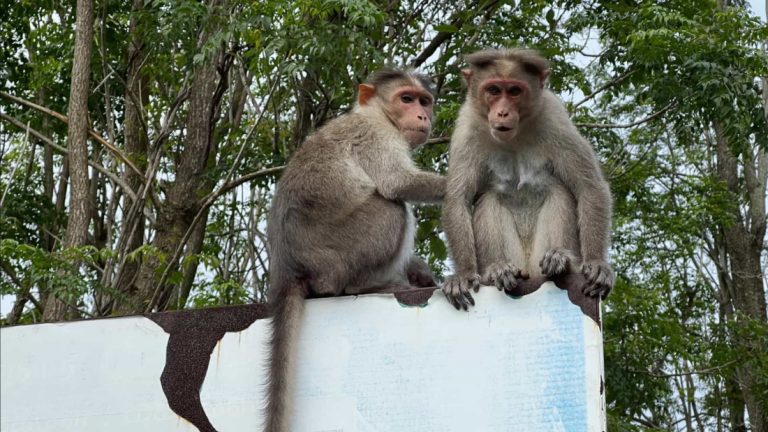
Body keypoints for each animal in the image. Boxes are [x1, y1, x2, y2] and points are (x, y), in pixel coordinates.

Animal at [264, 67, 444, 432]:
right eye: (406, 98)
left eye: (424, 101)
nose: (422, 115)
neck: (377, 113)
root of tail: (288, 268)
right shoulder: (377, 136)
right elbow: (398, 183)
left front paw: (420, 270)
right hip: (340, 254)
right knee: (391, 208)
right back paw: (369, 284)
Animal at [440, 48, 616, 310]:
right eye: (494, 90)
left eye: (514, 91)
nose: (503, 112)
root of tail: (528, 267)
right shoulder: (466, 127)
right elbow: (458, 199)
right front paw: (464, 275)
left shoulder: (554, 117)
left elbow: (589, 186)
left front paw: (596, 262)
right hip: (516, 259)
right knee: (490, 200)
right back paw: (498, 270)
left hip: (538, 258)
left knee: (558, 193)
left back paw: (560, 262)